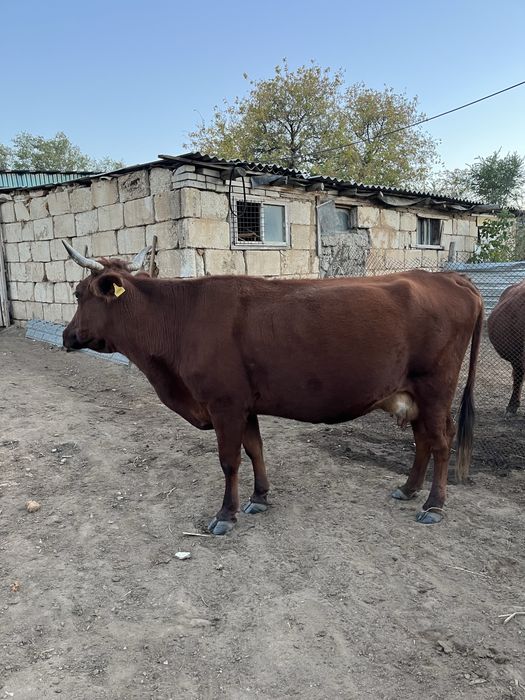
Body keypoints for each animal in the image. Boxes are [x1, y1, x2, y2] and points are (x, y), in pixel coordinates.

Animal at [62, 242, 483, 534]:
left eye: (78, 294)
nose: (67, 336)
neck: (180, 319)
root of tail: (447, 276)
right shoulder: (245, 405)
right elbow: (255, 450)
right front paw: (259, 498)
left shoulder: (224, 404)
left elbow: (229, 460)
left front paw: (225, 514)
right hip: (414, 393)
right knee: (423, 439)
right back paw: (408, 489)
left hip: (435, 388)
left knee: (441, 441)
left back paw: (433, 505)